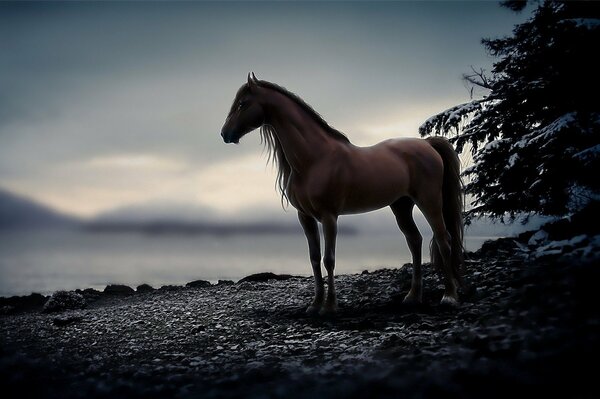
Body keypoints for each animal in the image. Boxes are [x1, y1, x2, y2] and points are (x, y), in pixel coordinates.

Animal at [220, 72, 464, 316]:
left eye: (242, 103)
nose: (224, 133)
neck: (315, 159)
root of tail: (427, 144)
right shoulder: (305, 217)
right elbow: (314, 258)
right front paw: (315, 304)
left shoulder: (329, 216)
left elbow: (329, 259)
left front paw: (329, 306)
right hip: (401, 206)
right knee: (414, 241)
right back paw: (413, 297)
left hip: (429, 201)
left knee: (444, 240)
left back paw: (449, 297)